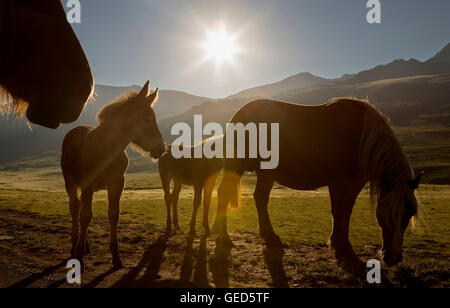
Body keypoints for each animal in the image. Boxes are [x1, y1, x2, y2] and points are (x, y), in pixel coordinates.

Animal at [60, 82, 164, 270]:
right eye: (146, 118)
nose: (161, 149)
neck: (107, 149)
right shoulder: (87, 185)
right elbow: (85, 216)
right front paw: (79, 257)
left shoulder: (117, 184)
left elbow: (113, 215)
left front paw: (116, 257)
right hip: (69, 183)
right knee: (75, 209)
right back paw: (75, 246)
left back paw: (85, 246)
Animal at [213, 97, 424, 274]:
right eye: (389, 214)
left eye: (409, 213)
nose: (394, 257)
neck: (358, 137)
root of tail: (238, 115)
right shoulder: (339, 182)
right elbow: (339, 212)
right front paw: (342, 249)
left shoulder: (354, 184)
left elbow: (346, 212)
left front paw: (341, 246)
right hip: (237, 165)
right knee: (226, 194)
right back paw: (225, 237)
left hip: (265, 173)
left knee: (259, 198)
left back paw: (266, 236)